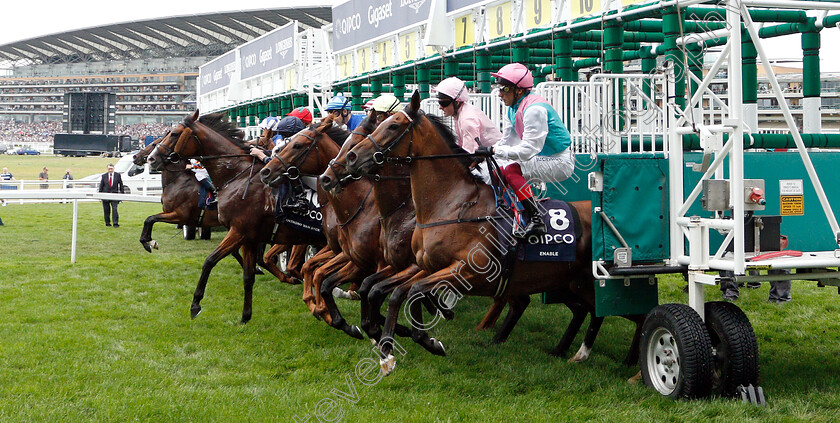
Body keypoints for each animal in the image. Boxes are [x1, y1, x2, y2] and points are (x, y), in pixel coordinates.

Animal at [172, 111, 324, 322]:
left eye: (174, 133)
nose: (154, 157)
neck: (237, 176)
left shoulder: (239, 231)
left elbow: (210, 261)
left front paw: (196, 304)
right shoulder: (249, 237)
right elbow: (248, 275)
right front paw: (245, 315)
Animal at [328, 92, 644, 374]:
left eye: (392, 126)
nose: (351, 158)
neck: (451, 203)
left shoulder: (466, 270)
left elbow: (407, 292)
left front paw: (420, 340)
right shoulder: (423, 266)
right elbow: (394, 293)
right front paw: (392, 349)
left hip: (591, 282)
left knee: (632, 313)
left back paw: (632, 365)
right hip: (568, 281)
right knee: (587, 310)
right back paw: (568, 350)